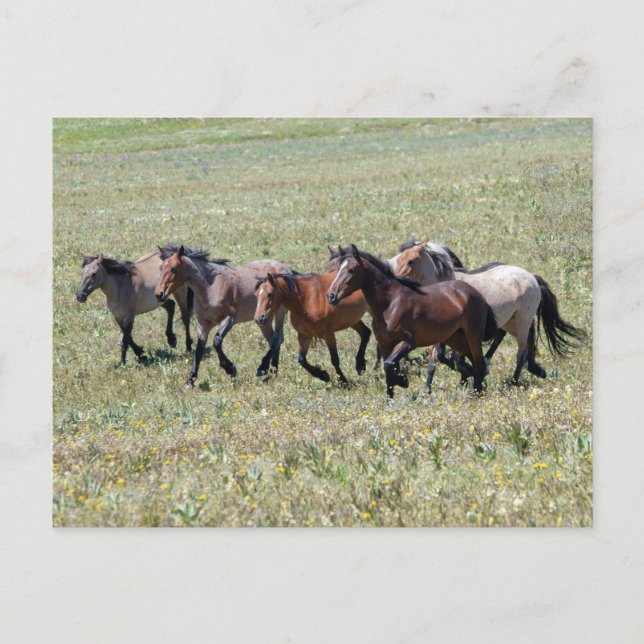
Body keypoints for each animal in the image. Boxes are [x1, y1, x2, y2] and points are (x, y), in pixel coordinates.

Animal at [154, 244, 290, 388]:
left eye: (173, 268)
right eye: (160, 268)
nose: (159, 294)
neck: (210, 288)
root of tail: (286, 269)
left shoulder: (230, 318)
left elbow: (216, 341)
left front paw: (230, 369)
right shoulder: (203, 324)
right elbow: (199, 349)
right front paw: (190, 380)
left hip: (279, 313)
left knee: (277, 339)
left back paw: (264, 369)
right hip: (264, 319)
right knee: (273, 340)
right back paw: (272, 372)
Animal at [326, 245, 497, 398]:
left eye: (351, 269)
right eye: (338, 269)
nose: (331, 296)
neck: (390, 304)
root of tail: (475, 293)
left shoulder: (408, 343)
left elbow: (389, 365)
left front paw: (403, 381)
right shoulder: (385, 345)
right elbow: (389, 370)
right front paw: (390, 398)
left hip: (473, 336)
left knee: (479, 363)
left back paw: (477, 392)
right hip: (454, 338)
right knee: (473, 363)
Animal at [393, 240, 586, 385]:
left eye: (410, 261)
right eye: (399, 258)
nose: (396, 279)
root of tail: (531, 277)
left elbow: (454, 359)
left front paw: (474, 374)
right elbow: (438, 358)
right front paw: (429, 390)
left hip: (522, 320)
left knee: (520, 352)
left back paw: (513, 382)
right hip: (511, 321)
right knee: (523, 342)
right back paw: (536, 370)